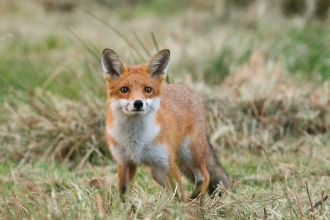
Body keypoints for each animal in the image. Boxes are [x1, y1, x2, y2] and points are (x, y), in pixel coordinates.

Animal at [101, 48, 232, 201]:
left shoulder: (167, 163)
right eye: (124, 90)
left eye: (147, 89)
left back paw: (194, 201)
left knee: (205, 176)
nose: (138, 103)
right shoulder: (125, 162)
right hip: (155, 171)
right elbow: (123, 193)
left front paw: (182, 207)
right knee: (170, 189)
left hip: (190, 152)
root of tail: (186, 90)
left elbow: (179, 191)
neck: (136, 141)